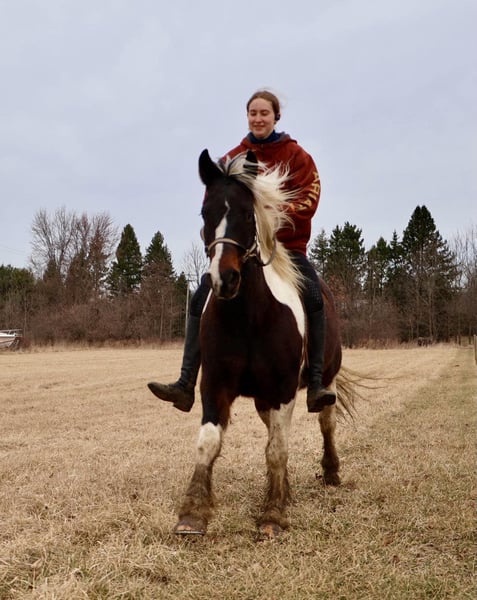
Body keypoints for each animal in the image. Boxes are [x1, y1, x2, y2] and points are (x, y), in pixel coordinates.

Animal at [174, 149, 353, 538]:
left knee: (326, 421)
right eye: (205, 212)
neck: (247, 316)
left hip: (325, 380)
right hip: (261, 397)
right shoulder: (216, 384)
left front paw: (273, 513)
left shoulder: (283, 390)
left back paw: (330, 470)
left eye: (246, 213)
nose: (224, 279)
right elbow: (208, 443)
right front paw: (193, 511)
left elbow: (277, 448)